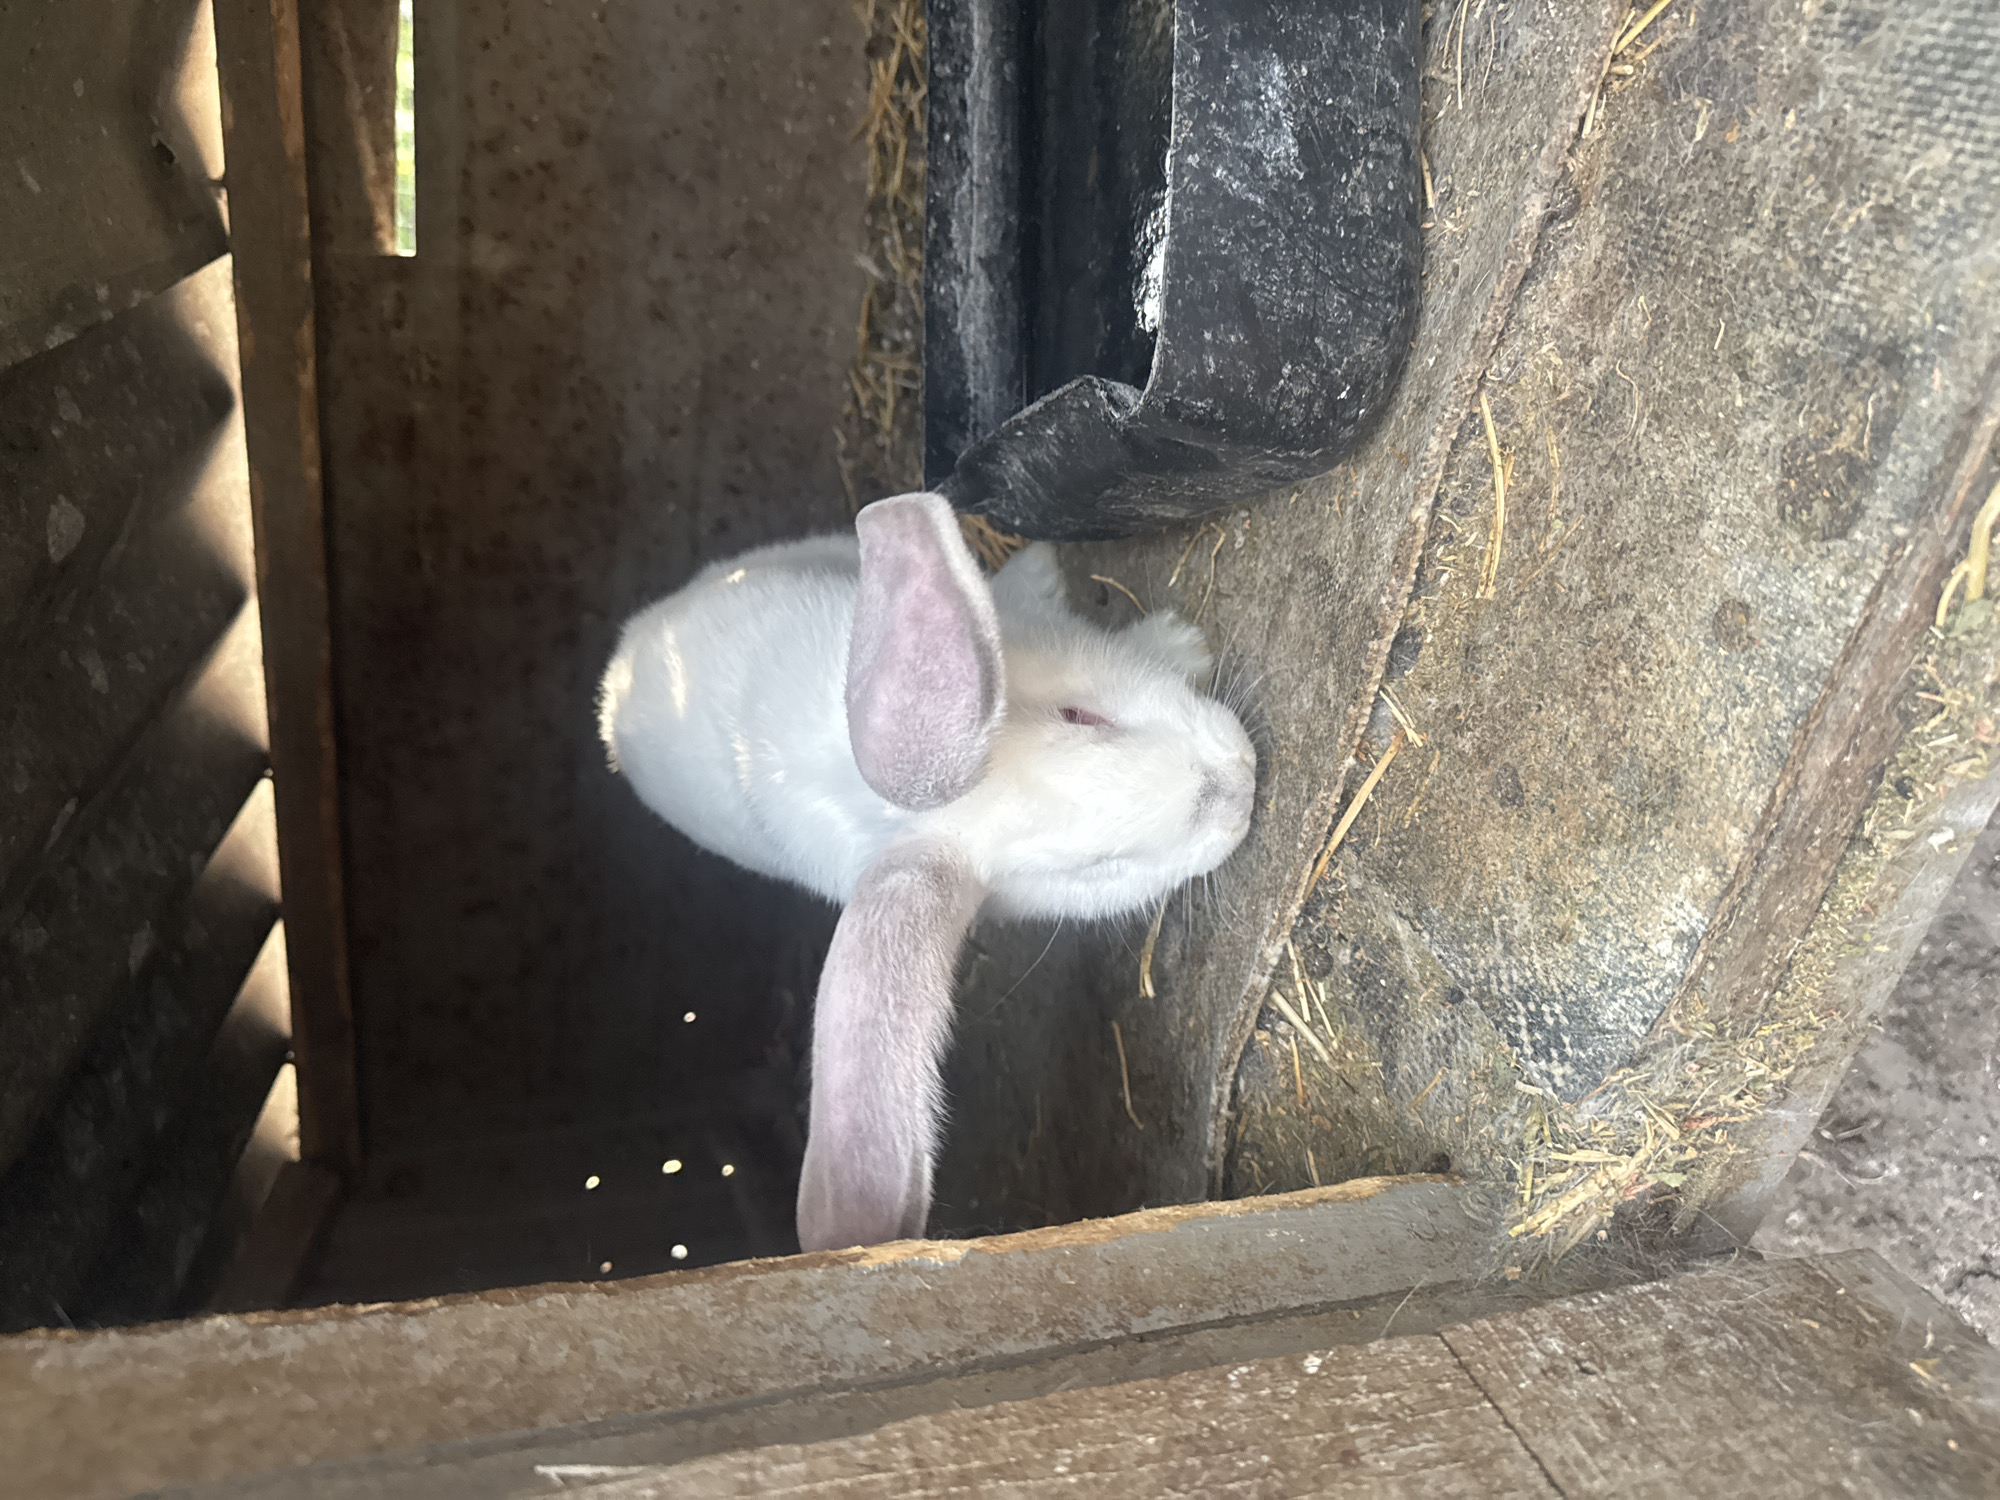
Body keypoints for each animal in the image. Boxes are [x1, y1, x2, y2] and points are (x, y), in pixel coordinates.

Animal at [598, 492, 1257, 1252]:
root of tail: (615, 678)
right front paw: (1182, 640)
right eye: (1094, 869)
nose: (1238, 788)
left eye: (1080, 716)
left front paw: (1175, 640)